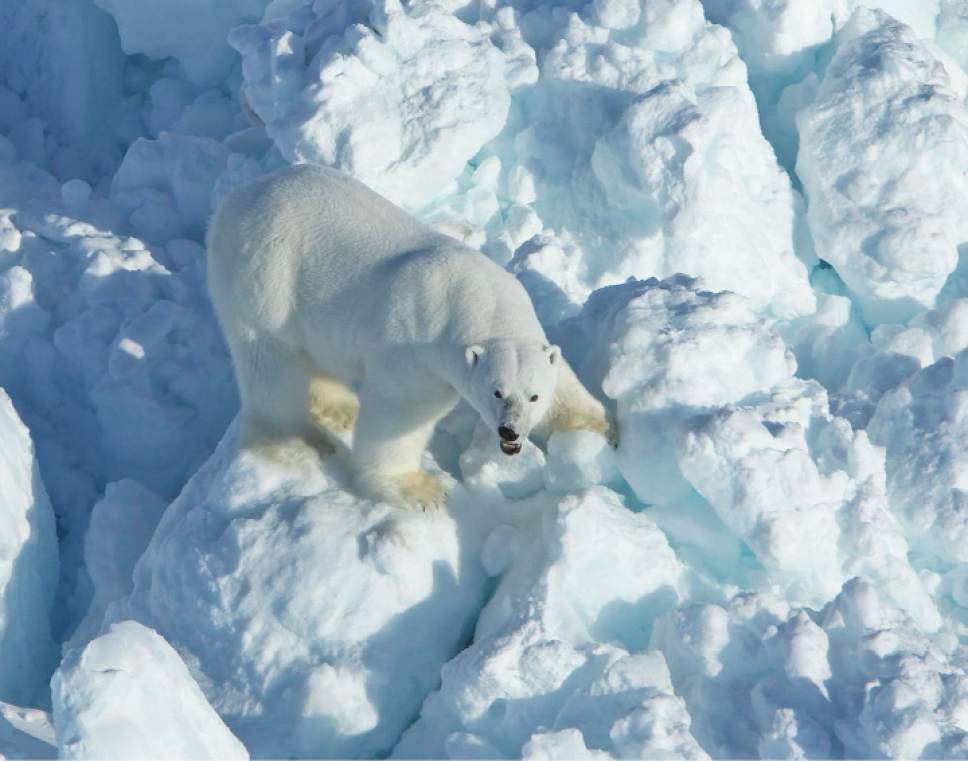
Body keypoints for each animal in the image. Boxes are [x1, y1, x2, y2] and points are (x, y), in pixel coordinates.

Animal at [207, 165, 614, 510]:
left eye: (533, 395)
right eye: (496, 392)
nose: (509, 431)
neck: (475, 298)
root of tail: (233, 200)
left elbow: (563, 382)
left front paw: (601, 430)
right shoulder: (418, 347)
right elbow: (400, 414)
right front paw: (419, 490)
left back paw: (340, 408)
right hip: (265, 276)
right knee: (271, 362)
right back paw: (300, 441)